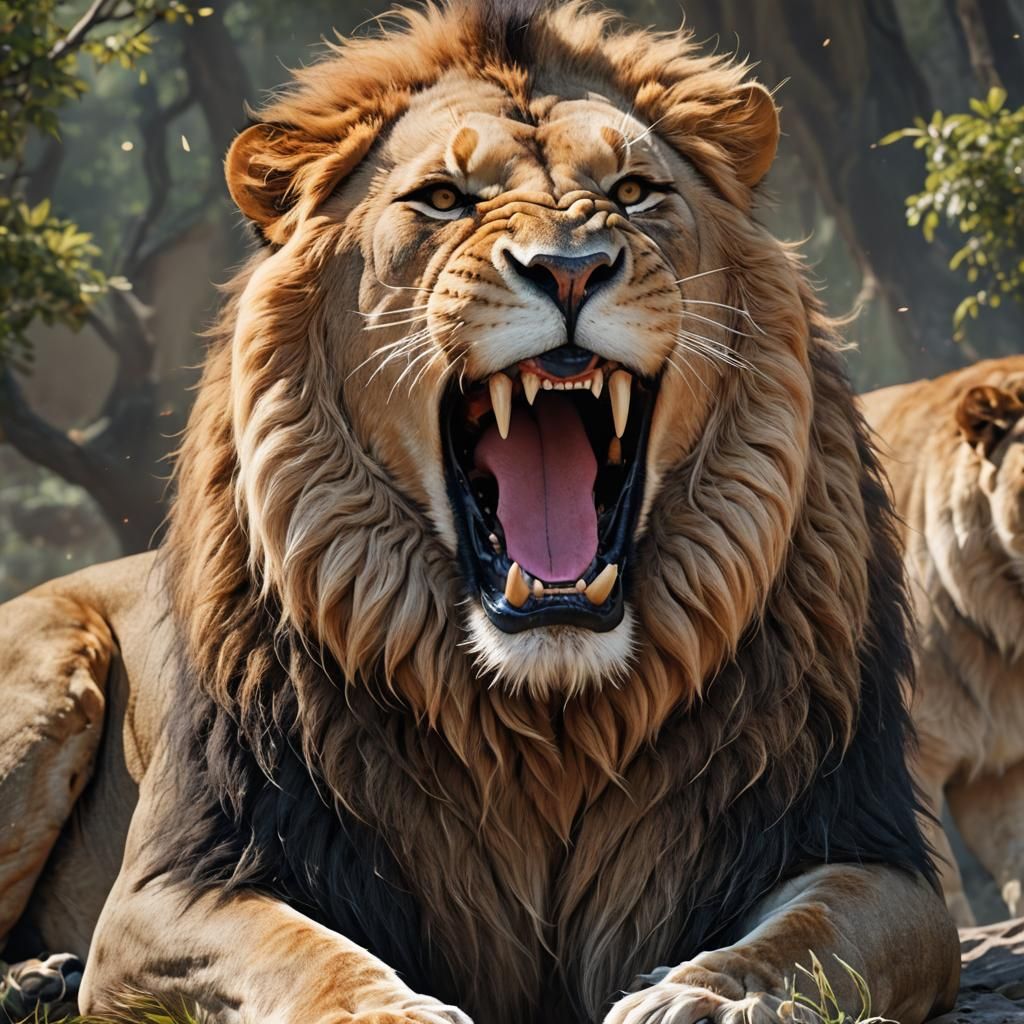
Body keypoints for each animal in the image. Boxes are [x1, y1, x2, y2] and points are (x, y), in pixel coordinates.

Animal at [0, 2, 959, 1023]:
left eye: (635, 191)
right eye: (443, 199)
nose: (571, 270)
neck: (548, 714)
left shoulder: (869, 850)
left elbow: (808, 941)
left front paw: (701, 996)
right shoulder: (178, 879)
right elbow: (303, 955)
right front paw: (388, 1010)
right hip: (48, 673)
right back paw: (33, 976)